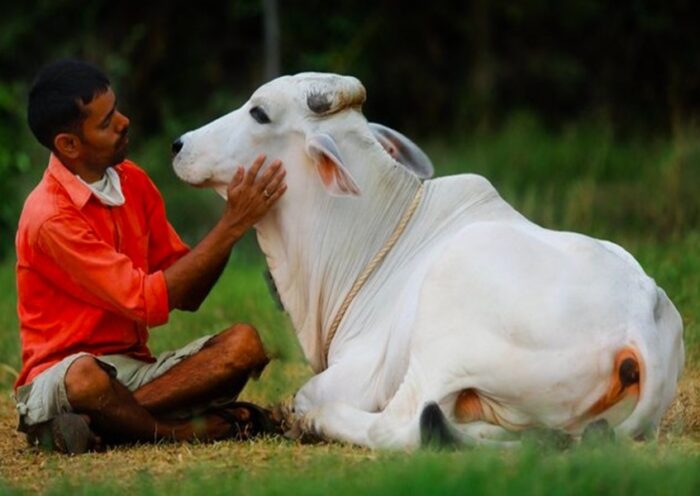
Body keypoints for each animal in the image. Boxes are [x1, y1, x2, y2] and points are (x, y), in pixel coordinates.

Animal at [171, 73, 684, 449]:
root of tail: (640, 319)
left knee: (402, 424)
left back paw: (320, 422)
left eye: (259, 112)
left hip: (444, 329)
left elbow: (307, 392)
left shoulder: (365, 372)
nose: (179, 145)